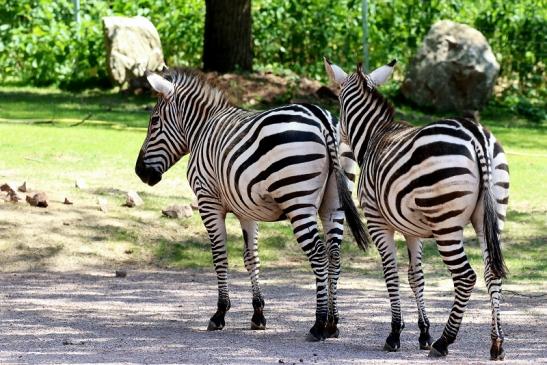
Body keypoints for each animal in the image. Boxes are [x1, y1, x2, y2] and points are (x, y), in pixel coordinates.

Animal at [135, 68, 370, 342]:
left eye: (154, 121)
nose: (139, 172)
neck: (201, 130)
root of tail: (322, 119)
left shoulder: (208, 201)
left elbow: (220, 256)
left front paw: (219, 314)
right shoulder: (246, 209)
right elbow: (251, 258)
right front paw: (258, 314)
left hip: (298, 201)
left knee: (319, 254)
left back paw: (318, 324)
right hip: (333, 204)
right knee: (334, 255)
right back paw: (333, 324)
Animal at [326, 58, 510, 360]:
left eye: (338, 103)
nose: (338, 138)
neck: (375, 136)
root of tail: (476, 136)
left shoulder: (378, 223)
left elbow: (391, 273)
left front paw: (395, 334)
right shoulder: (413, 230)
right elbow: (416, 277)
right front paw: (424, 332)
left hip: (446, 224)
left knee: (466, 277)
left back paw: (444, 342)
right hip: (490, 219)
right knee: (491, 273)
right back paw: (496, 344)